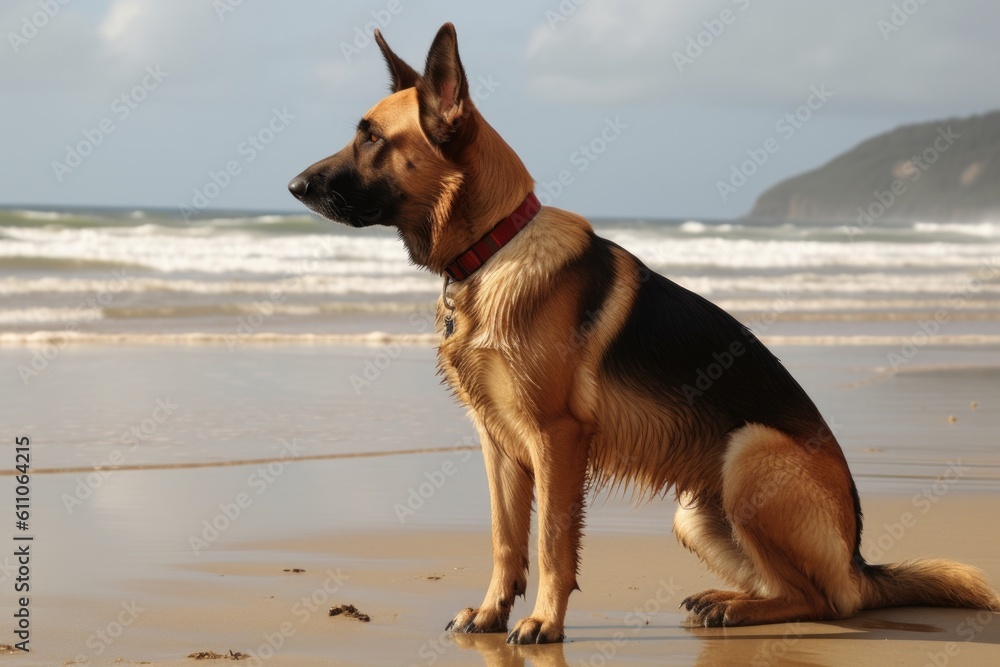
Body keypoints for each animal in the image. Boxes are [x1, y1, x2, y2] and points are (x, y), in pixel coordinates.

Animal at [286, 23, 996, 644]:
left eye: (371, 138)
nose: (292, 186)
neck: (493, 249)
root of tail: (858, 560)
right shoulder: (497, 444)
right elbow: (504, 537)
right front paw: (491, 612)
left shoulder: (556, 440)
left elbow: (550, 541)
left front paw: (543, 624)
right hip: (695, 512)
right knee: (793, 589)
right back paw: (728, 601)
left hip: (751, 454)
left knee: (825, 602)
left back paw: (740, 609)